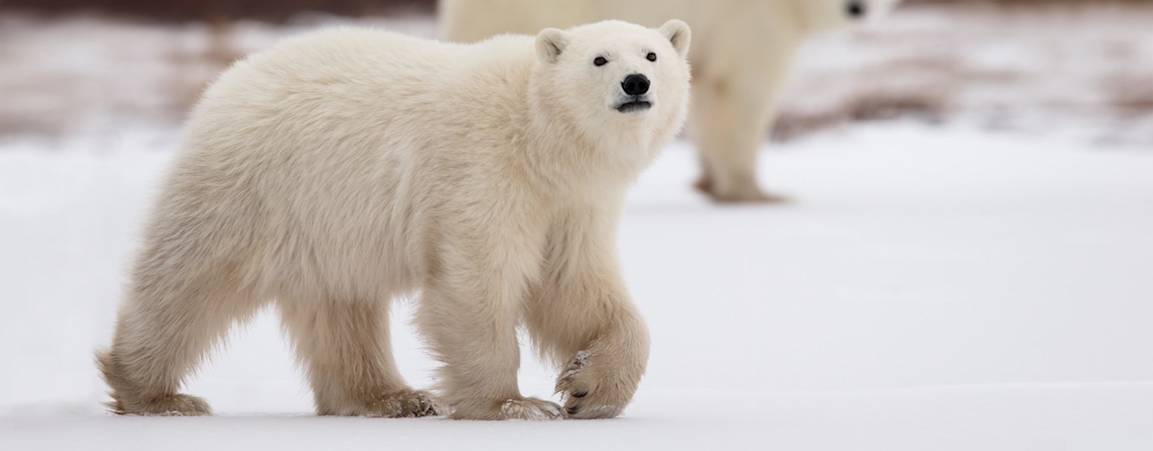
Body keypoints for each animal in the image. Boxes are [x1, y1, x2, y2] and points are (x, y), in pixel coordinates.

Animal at [94, 18, 687, 419]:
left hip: (324, 228)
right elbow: (475, 285)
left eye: (653, 53)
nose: (636, 82)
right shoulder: (483, 174)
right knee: (188, 284)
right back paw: (157, 394)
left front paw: (590, 388)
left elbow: (575, 289)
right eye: (599, 60)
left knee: (342, 308)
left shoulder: (571, 205)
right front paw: (514, 404)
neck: (538, 137)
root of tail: (228, 81)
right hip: (250, 189)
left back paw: (391, 397)